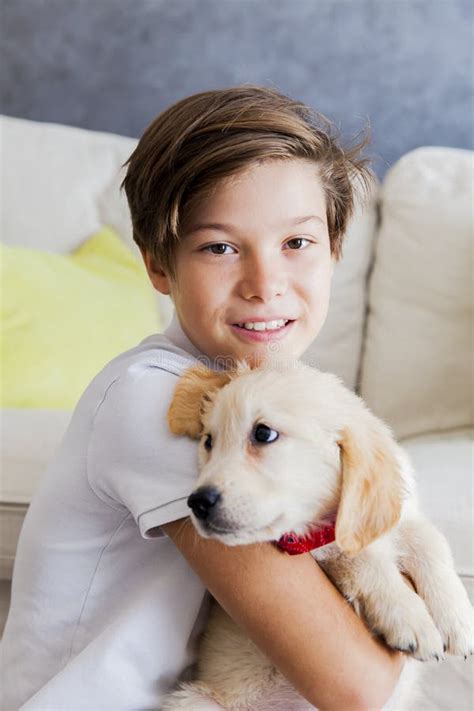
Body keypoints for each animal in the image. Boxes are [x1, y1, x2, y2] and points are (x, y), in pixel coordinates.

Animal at [161, 362, 472, 711]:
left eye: (263, 434)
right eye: (208, 442)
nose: (197, 502)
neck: (326, 520)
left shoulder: (395, 514)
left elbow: (430, 539)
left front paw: (457, 619)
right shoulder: (311, 547)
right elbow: (359, 557)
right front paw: (409, 617)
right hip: (194, 701)